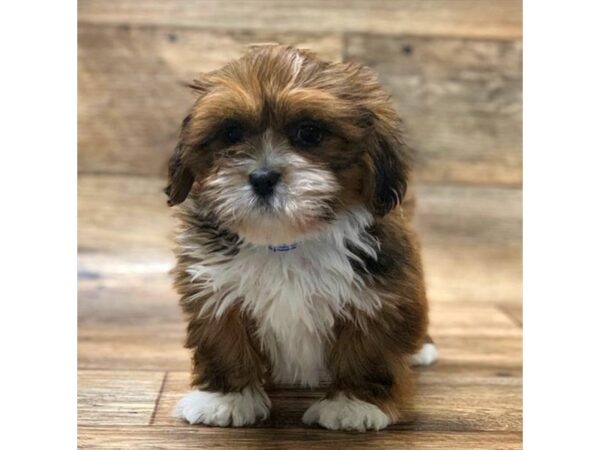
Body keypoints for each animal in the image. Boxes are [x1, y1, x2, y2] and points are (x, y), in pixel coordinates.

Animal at [164, 45, 436, 432]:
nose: (262, 177)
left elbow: (366, 347)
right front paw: (226, 398)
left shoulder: (380, 292)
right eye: (231, 134)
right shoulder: (214, 289)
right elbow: (224, 340)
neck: (285, 241)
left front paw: (354, 405)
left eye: (309, 133)